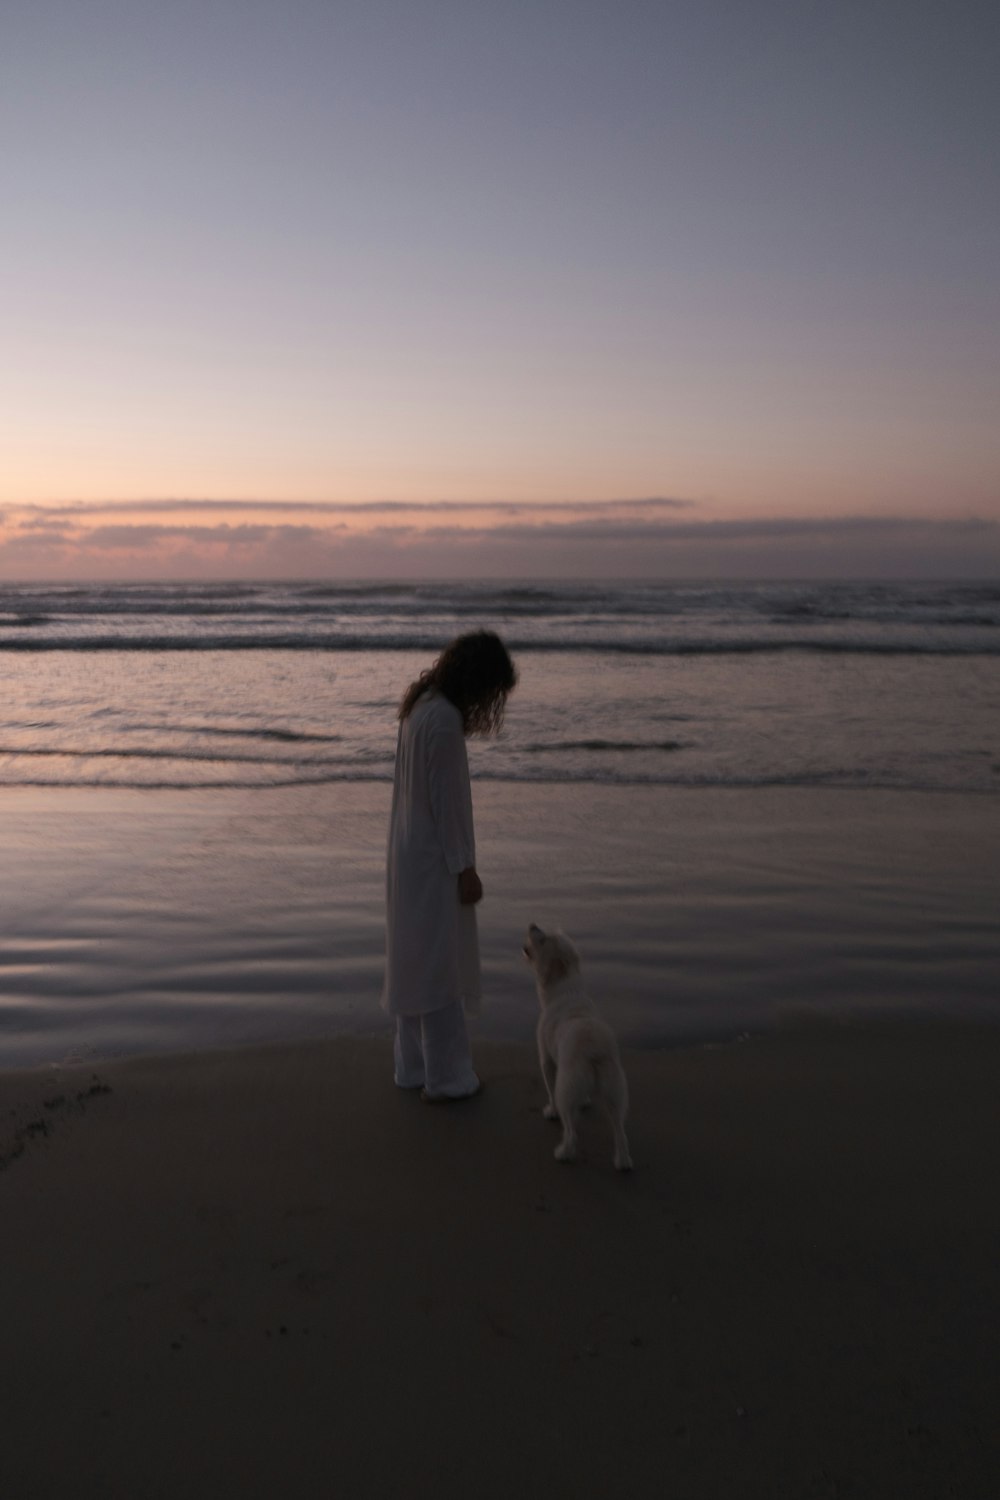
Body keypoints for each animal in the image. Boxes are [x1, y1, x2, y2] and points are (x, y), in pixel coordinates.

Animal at [524, 924, 632, 1170]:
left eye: (543, 940)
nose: (533, 925)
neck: (565, 988)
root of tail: (595, 1049)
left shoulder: (547, 1060)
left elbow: (549, 1088)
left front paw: (550, 1111)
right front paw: (585, 1102)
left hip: (567, 1086)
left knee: (571, 1130)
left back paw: (563, 1152)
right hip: (615, 1092)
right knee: (620, 1132)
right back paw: (622, 1162)